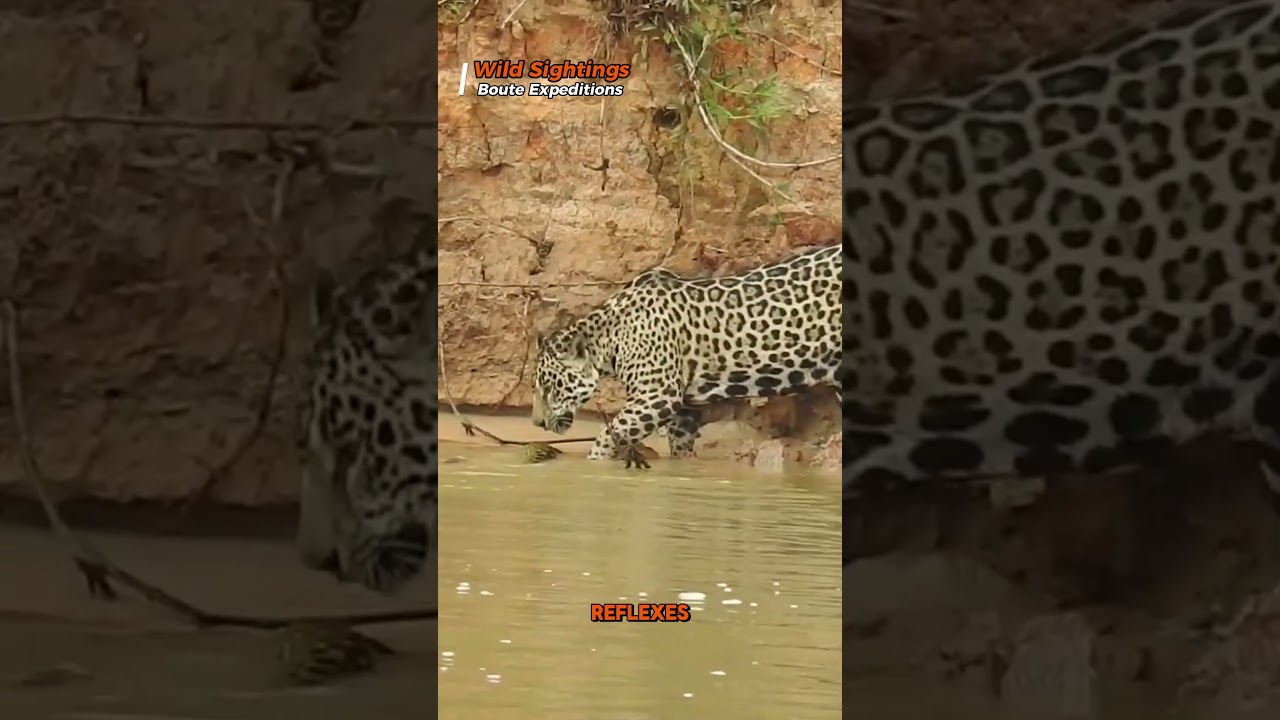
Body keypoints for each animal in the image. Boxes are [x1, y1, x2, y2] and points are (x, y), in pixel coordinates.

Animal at [532, 244, 840, 461]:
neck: (611, 336)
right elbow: (679, 446)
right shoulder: (685, 411)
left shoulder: (657, 396)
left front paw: (595, 461)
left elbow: (611, 432)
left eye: (549, 388)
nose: (537, 423)